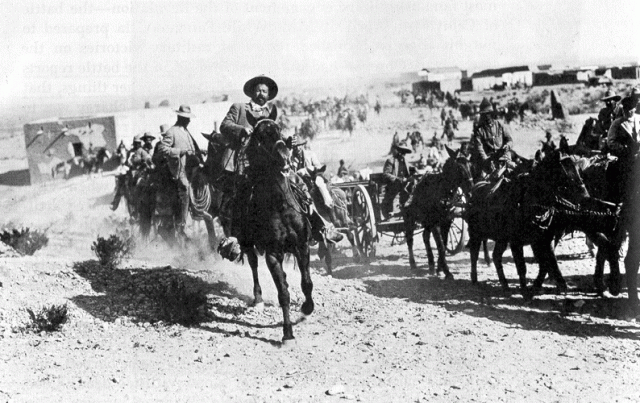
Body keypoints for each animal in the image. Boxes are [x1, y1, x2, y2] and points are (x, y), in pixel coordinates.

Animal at [404, 146, 476, 278]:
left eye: (470, 166)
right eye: (459, 168)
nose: (470, 192)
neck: (442, 191)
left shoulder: (446, 222)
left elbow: (445, 243)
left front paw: (439, 268)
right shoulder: (435, 224)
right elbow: (440, 245)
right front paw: (447, 271)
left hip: (426, 222)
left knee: (425, 237)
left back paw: (431, 265)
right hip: (409, 219)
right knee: (410, 240)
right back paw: (413, 264)